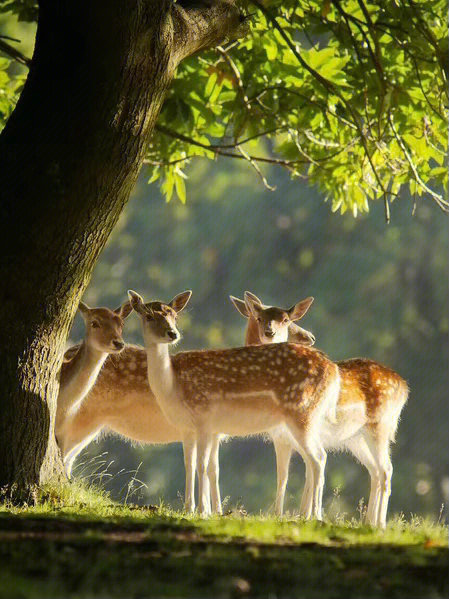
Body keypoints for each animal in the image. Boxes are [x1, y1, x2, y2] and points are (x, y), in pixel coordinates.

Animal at [128, 288, 338, 516]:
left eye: (174, 316)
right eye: (148, 316)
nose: (172, 333)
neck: (171, 386)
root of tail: (334, 370)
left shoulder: (205, 419)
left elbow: (203, 465)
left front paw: (203, 511)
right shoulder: (188, 428)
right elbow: (190, 464)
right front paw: (190, 509)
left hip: (302, 412)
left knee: (318, 458)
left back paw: (315, 515)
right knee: (315, 459)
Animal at [231, 292, 410, 528]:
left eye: (287, 320)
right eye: (259, 318)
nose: (309, 337)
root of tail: (405, 387)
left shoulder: (290, 434)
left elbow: (295, 473)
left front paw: (292, 515)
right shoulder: (282, 435)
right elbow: (289, 475)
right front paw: (298, 515)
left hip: (380, 427)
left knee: (386, 469)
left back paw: (379, 523)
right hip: (356, 439)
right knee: (375, 470)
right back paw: (369, 522)